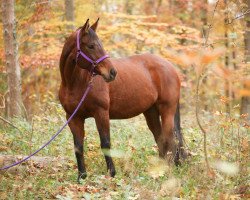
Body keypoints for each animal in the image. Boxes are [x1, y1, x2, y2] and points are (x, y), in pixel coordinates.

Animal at [58, 19, 186, 183]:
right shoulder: (74, 118)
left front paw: (111, 174)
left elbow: (105, 143)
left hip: (167, 111)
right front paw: (82, 177)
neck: (76, 83)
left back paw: (166, 171)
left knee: (170, 140)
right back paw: (158, 171)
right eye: (91, 46)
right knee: (160, 139)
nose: (112, 72)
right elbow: (78, 147)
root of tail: (171, 68)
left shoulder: (101, 113)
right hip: (150, 112)